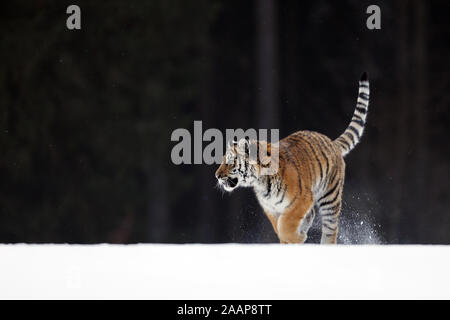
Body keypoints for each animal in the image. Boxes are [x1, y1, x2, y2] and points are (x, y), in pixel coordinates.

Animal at [216, 72, 370, 242]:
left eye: (230, 162)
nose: (217, 176)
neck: (260, 181)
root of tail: (331, 142)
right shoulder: (271, 209)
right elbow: (278, 227)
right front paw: (293, 239)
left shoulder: (301, 199)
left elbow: (285, 225)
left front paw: (297, 238)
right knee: (313, 215)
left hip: (330, 196)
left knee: (331, 229)